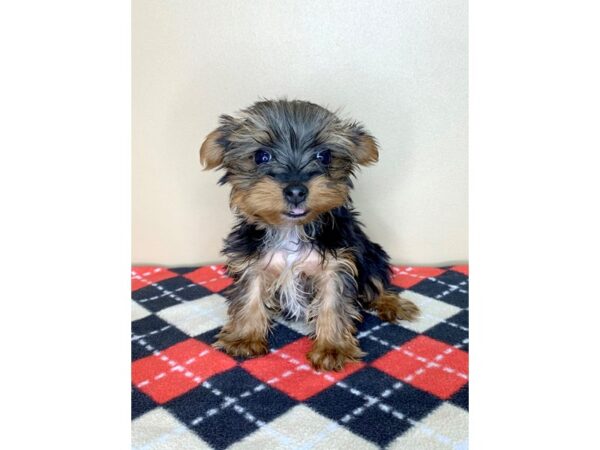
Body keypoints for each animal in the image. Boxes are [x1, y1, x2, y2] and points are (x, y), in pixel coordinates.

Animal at [199, 100, 420, 370]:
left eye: (324, 156)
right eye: (261, 156)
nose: (296, 191)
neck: (291, 229)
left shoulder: (337, 264)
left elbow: (333, 303)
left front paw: (332, 348)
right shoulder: (251, 260)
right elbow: (249, 295)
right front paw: (244, 338)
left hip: (370, 253)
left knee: (375, 283)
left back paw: (394, 304)